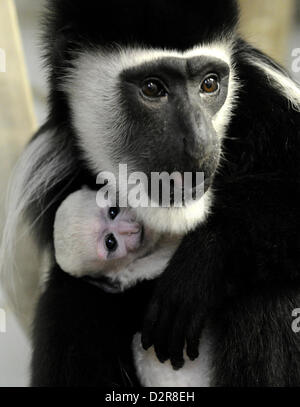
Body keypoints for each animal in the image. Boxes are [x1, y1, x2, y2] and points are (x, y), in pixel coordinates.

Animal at [0, 0, 300, 388]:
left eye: (209, 84)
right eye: (153, 88)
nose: (201, 145)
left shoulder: (270, 104)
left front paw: (202, 263)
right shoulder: (52, 170)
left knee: (270, 294)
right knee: (70, 299)